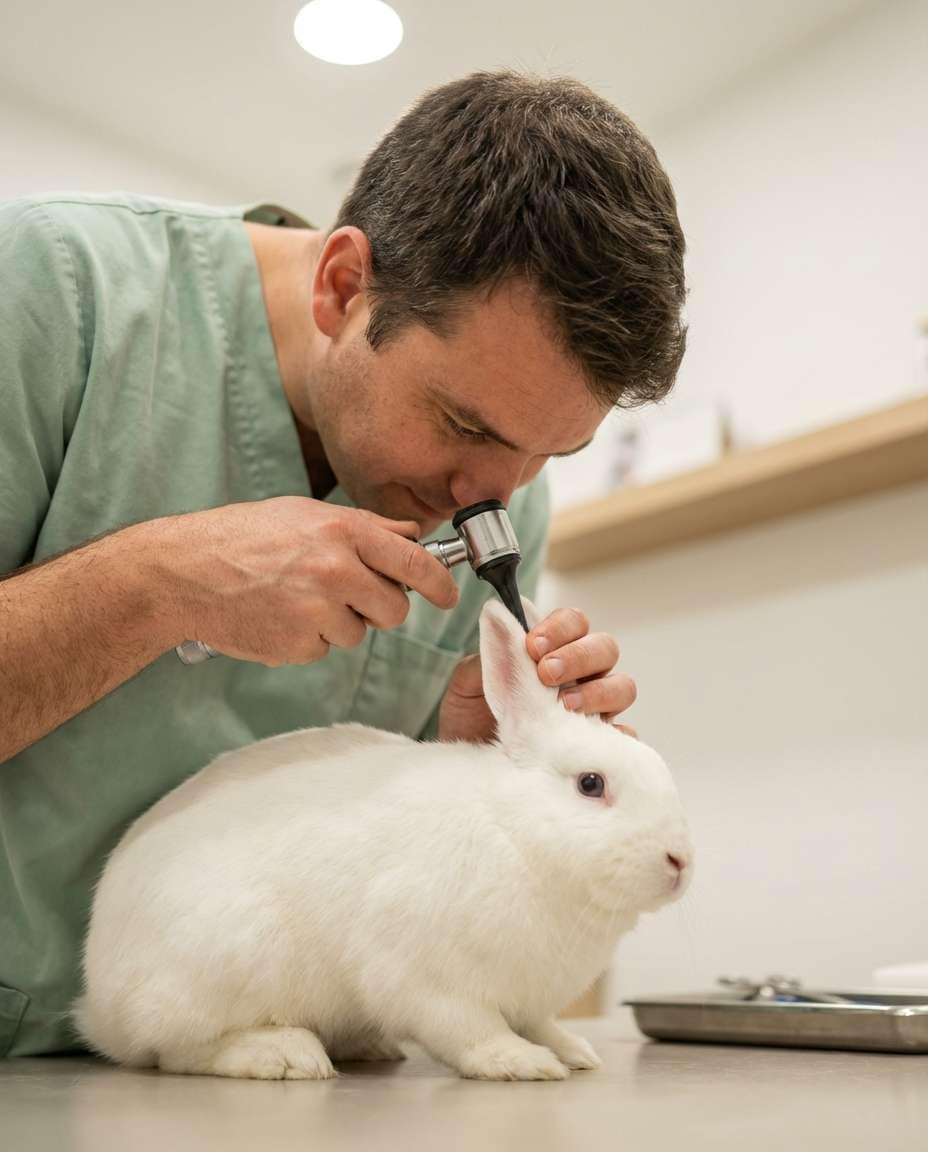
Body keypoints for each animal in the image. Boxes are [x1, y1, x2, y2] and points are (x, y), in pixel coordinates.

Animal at [72, 596, 692, 1081]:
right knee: (175, 1050)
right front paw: (521, 1063)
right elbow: (469, 1029)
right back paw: (284, 1054)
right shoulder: (424, 975)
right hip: (220, 964)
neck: (515, 832)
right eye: (591, 784)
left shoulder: (528, 997)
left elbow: (542, 1024)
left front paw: (574, 1051)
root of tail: (99, 1002)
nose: (681, 861)